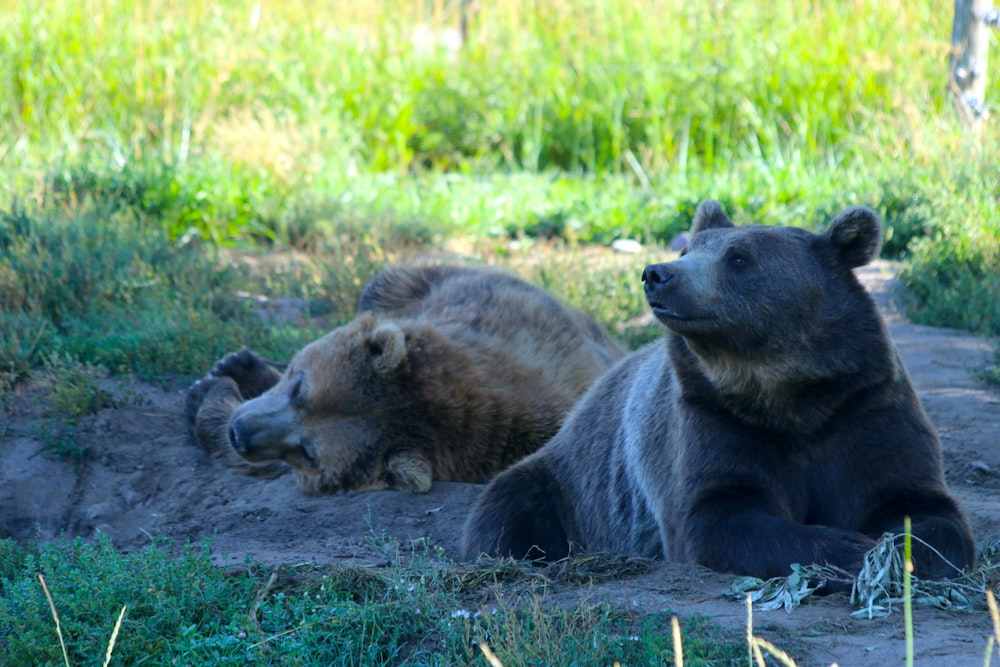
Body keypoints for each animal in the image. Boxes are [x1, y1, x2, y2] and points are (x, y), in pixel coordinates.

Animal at [186, 264, 624, 494]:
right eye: (300, 387)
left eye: (309, 452)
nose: (241, 433)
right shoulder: (497, 302)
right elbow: (388, 282)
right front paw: (237, 366)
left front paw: (210, 390)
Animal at [464, 201, 980, 580]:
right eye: (689, 249)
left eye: (738, 257)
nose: (658, 273)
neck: (791, 395)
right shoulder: (712, 417)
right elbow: (717, 513)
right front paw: (847, 548)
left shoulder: (864, 408)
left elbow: (920, 505)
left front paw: (892, 549)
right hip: (572, 482)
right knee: (509, 508)